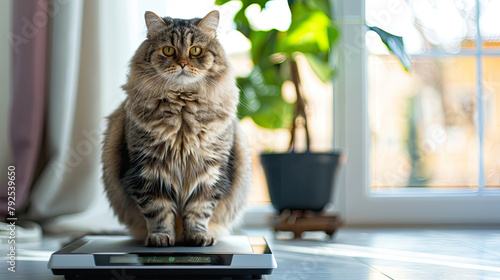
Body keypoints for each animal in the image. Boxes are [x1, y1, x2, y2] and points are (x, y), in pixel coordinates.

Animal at [101, 10, 252, 247]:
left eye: (195, 51)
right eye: (168, 50)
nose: (182, 64)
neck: (182, 116)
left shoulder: (209, 170)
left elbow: (199, 211)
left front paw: (198, 236)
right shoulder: (148, 169)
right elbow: (158, 211)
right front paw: (160, 237)